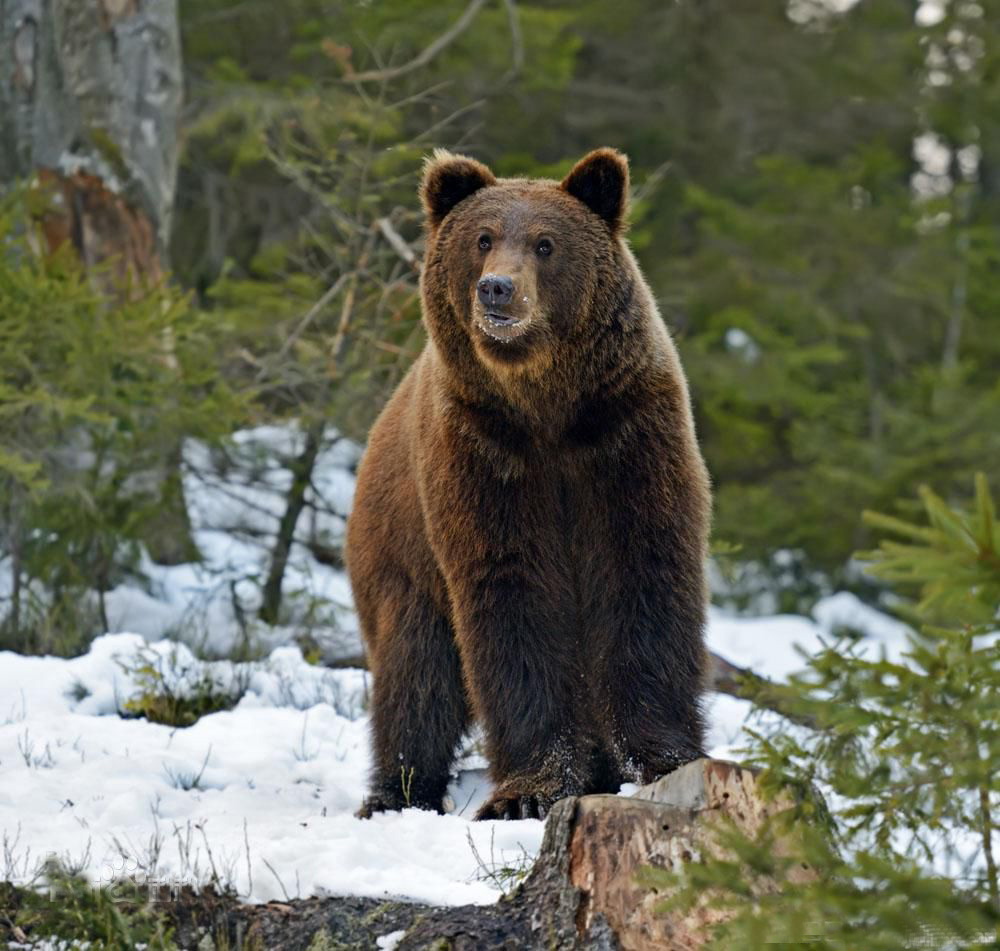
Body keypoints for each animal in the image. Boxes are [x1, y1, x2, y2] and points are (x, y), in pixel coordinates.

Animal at [350, 149, 712, 824]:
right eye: (483, 238)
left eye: (546, 243)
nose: (497, 288)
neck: (546, 407)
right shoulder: (485, 455)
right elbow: (512, 596)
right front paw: (530, 790)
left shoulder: (625, 438)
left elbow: (643, 577)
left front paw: (659, 758)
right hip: (401, 557)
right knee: (416, 674)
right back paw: (396, 793)